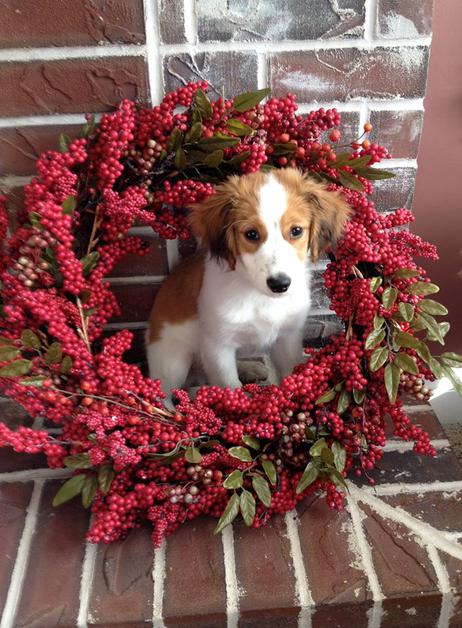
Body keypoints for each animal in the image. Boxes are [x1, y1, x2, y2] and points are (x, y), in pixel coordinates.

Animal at [146, 168, 350, 400]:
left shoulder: (288, 339)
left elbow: (289, 375)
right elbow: (231, 387)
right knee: (164, 393)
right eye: (251, 234)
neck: (259, 295)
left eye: (296, 231)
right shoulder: (218, 345)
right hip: (173, 359)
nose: (280, 284)